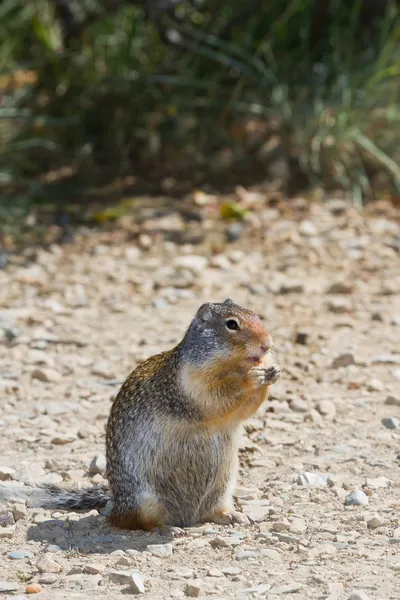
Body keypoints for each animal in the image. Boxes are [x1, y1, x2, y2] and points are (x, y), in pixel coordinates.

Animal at [0, 298, 282, 528]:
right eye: (232, 324)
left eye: (256, 315)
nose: (268, 345)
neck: (230, 365)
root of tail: (115, 501)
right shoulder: (191, 384)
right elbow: (217, 398)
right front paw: (253, 377)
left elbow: (245, 411)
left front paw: (272, 370)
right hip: (145, 501)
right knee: (132, 522)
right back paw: (167, 528)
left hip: (223, 488)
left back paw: (232, 515)